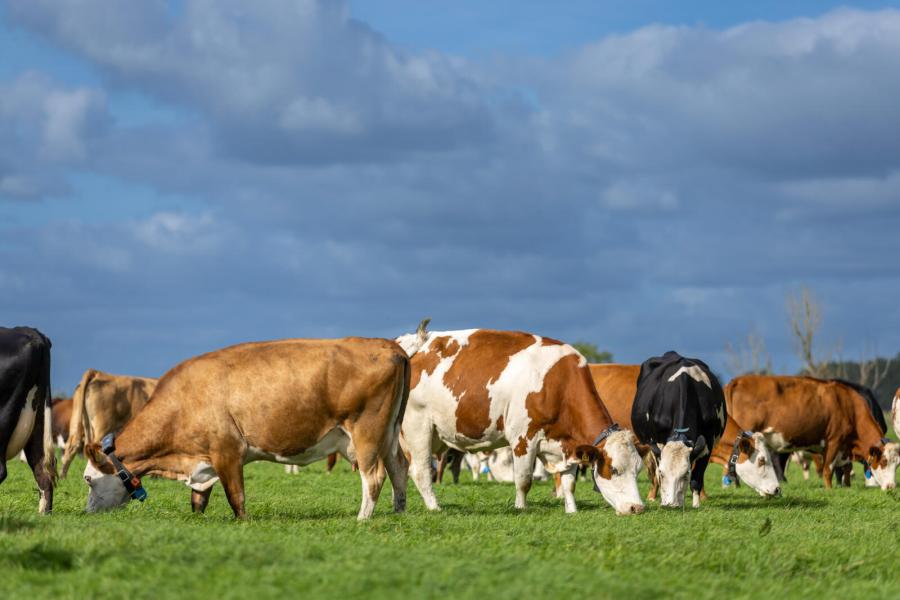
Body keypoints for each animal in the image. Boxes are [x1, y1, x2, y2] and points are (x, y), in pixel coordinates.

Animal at [81, 337, 410, 520]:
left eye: (87, 479)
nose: (86, 513)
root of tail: (388, 345)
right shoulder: (204, 461)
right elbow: (198, 500)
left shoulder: (228, 451)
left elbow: (236, 498)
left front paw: (243, 522)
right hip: (390, 432)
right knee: (399, 468)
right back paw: (399, 511)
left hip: (367, 431)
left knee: (374, 475)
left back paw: (362, 519)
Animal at [395, 321, 644, 515]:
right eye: (614, 470)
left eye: (637, 469)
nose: (637, 508)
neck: (559, 384)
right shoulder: (523, 438)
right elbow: (524, 480)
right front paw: (521, 508)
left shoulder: (566, 445)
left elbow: (569, 483)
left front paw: (571, 510)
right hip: (418, 427)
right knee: (420, 470)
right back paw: (434, 507)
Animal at [627, 352, 727, 508]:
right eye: (663, 473)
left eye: (685, 474)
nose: (671, 504)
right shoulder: (658, 443)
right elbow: (658, 474)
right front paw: (663, 499)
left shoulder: (708, 442)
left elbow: (697, 478)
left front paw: (696, 505)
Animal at [726, 375, 899, 490]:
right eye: (883, 462)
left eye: (897, 465)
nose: (891, 486)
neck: (849, 407)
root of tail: (738, 380)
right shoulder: (834, 441)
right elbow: (828, 469)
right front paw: (830, 490)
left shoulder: (844, 449)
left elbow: (846, 468)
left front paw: (847, 486)